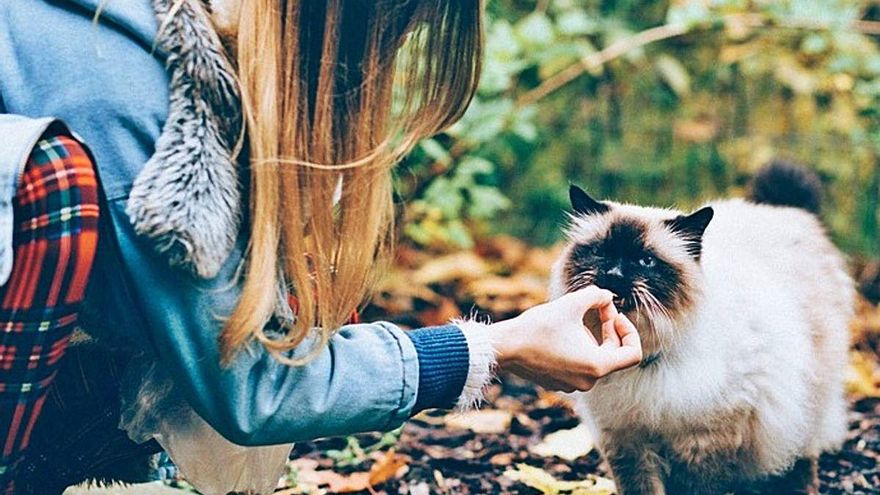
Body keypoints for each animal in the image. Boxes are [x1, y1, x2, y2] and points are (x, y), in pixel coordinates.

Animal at [552, 161, 852, 494]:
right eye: (601, 252)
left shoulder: (703, 444)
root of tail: (785, 210)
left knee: (803, 453)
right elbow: (641, 487)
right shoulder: (627, 441)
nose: (614, 275)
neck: (645, 360)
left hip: (803, 400)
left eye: (646, 261)